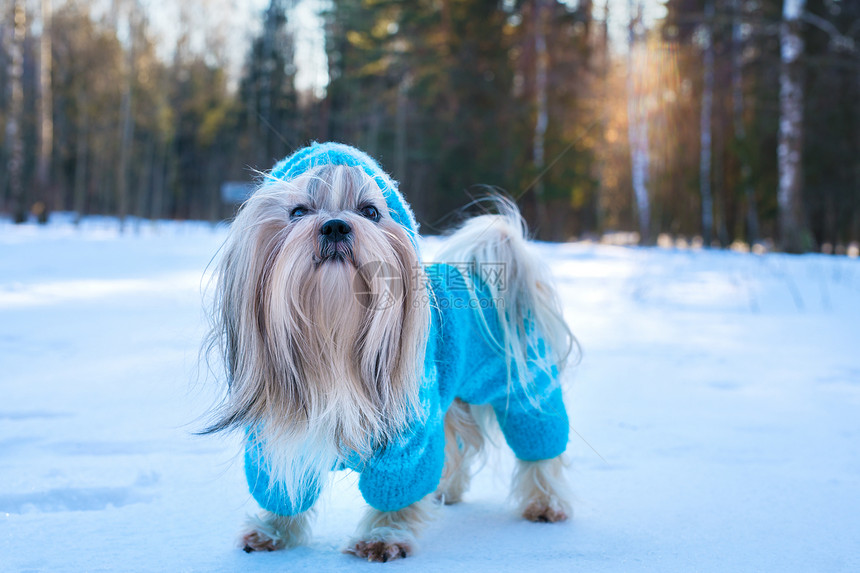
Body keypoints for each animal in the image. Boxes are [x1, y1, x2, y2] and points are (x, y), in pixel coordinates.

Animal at [202, 141, 576, 560]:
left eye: (370, 211)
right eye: (298, 211)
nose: (335, 225)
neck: (334, 337)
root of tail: (485, 277)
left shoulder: (408, 436)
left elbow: (397, 492)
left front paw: (384, 537)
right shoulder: (276, 438)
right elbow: (283, 489)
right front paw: (273, 531)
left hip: (525, 387)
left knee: (540, 447)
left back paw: (545, 503)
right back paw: (446, 491)